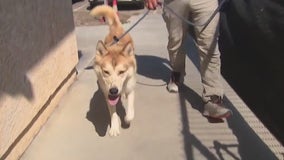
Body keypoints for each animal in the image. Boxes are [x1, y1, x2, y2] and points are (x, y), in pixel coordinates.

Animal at [90, 5, 136, 137]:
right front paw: (114, 128)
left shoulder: (131, 88)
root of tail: (116, 27)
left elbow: (130, 111)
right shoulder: (107, 95)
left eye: (122, 72)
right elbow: (113, 113)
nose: (114, 90)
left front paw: (127, 119)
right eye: (106, 72)